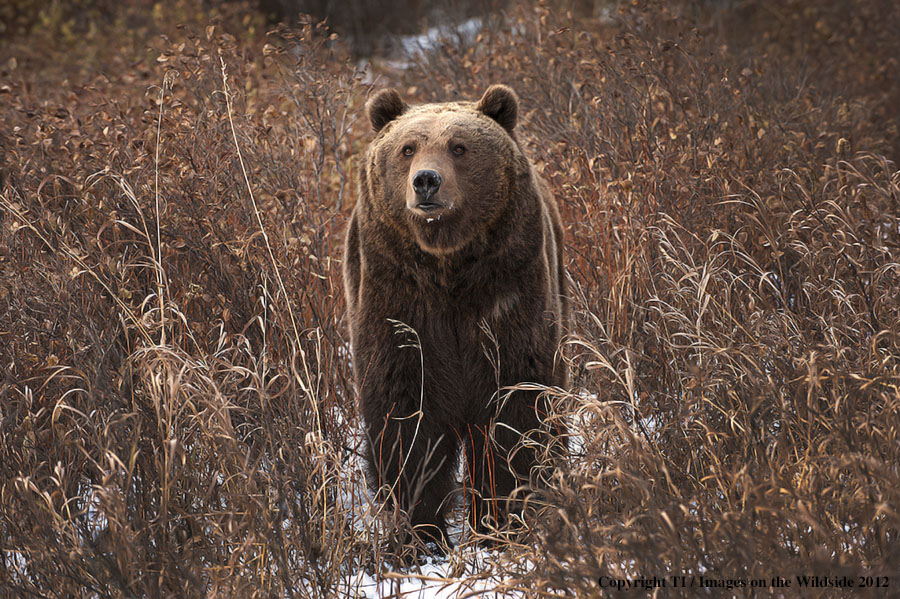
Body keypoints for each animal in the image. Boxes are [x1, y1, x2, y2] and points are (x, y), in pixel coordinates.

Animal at [342, 85, 568, 552]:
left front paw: (504, 520)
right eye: (408, 148)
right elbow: (406, 411)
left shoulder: (507, 288)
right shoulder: (397, 296)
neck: (447, 265)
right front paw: (418, 535)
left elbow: (514, 402)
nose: (426, 180)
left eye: (459, 147)